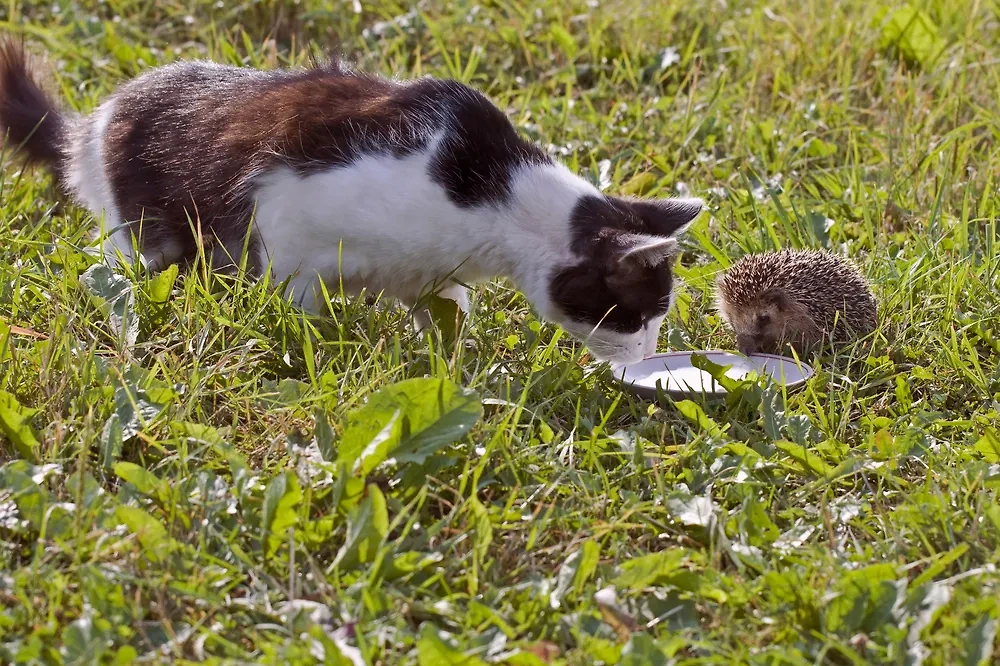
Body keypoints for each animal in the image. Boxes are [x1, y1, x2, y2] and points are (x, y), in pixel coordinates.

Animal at [0, 40, 704, 364]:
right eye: (639, 317)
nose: (650, 357)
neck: (494, 203)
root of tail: (95, 121)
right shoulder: (289, 222)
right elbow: (301, 307)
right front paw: (314, 352)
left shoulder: (433, 275)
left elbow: (449, 316)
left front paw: (451, 365)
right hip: (147, 236)